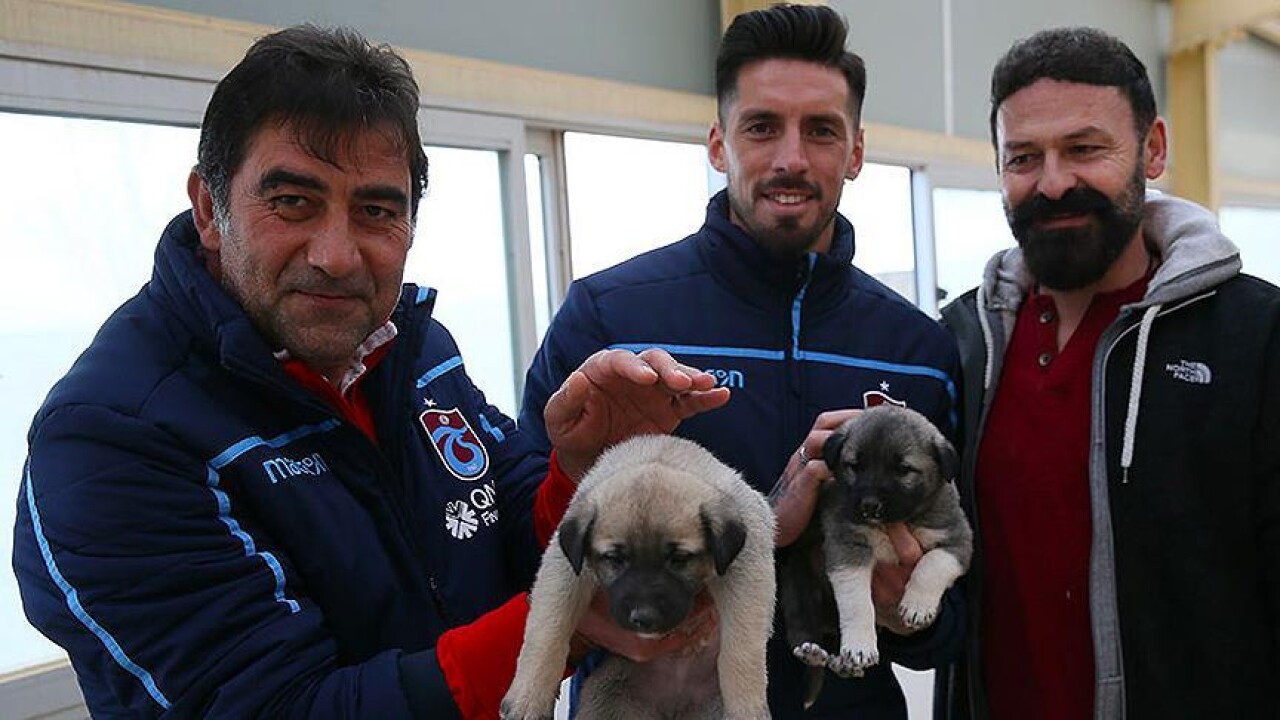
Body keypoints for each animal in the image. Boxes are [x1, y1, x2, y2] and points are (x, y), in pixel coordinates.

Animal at [501, 434, 776, 720]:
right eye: (614, 559)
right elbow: (547, 630)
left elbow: (741, 648)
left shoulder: (746, 570)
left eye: (679, 559)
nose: (644, 618)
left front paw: (746, 707)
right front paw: (529, 697)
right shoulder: (565, 569)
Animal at [777, 405, 972, 702]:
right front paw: (859, 645)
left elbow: (932, 564)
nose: (869, 506)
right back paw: (812, 650)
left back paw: (843, 664)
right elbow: (858, 602)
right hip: (798, 585)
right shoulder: (847, 545)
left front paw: (917, 607)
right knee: (801, 624)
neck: (897, 521)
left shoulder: (958, 538)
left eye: (903, 469)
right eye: (855, 466)